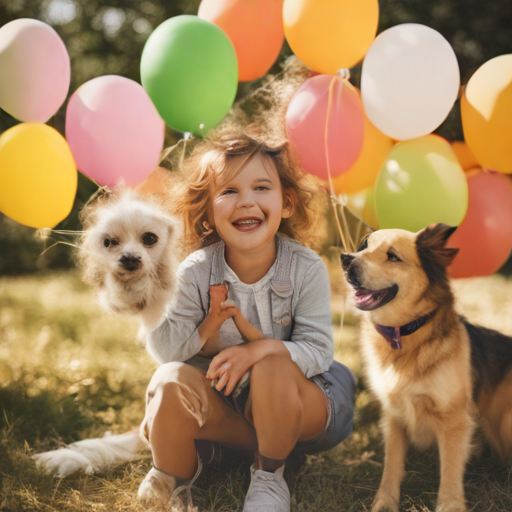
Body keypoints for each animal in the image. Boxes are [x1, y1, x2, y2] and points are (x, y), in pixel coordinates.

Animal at [342, 224, 512, 512]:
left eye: (392, 256)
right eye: (363, 246)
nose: (345, 259)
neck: (405, 337)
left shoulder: (455, 420)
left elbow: (450, 470)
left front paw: (450, 504)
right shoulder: (394, 417)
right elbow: (391, 466)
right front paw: (384, 502)